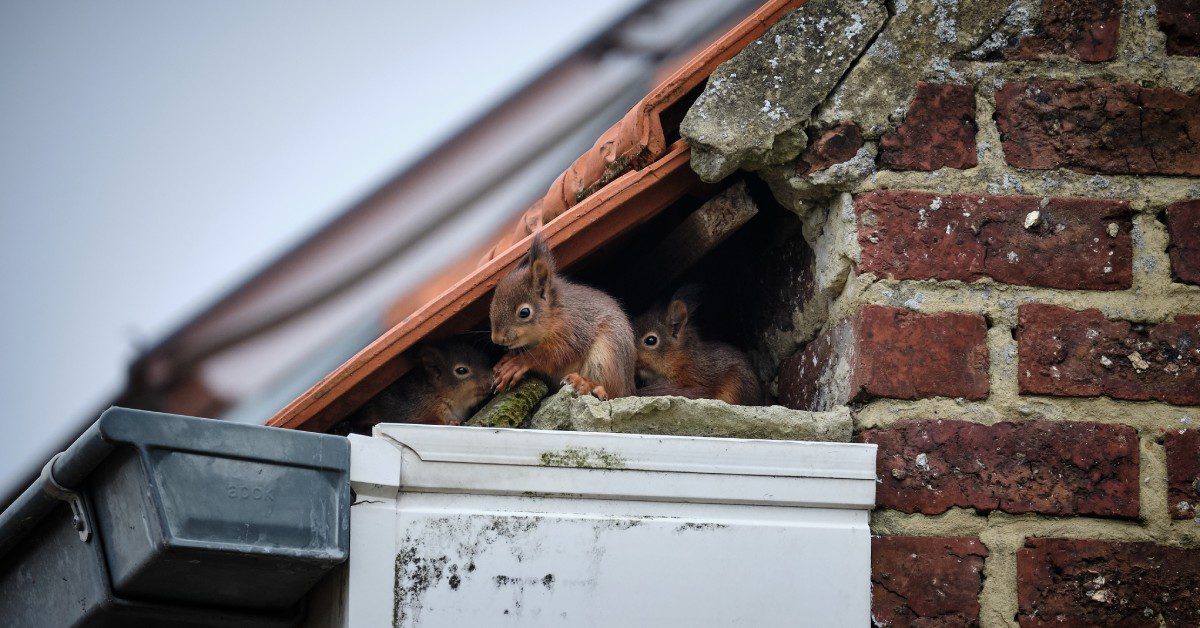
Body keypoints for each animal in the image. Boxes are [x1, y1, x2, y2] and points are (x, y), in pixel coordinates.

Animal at [339, 340, 493, 434]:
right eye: (461, 370)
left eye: (485, 358)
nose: (491, 378)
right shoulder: (411, 410)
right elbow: (422, 422)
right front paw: (451, 423)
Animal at [489, 233, 636, 400]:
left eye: (524, 313)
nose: (497, 339)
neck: (555, 313)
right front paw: (505, 360)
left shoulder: (573, 327)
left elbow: (557, 353)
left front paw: (517, 363)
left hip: (607, 354)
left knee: (612, 392)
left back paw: (585, 383)